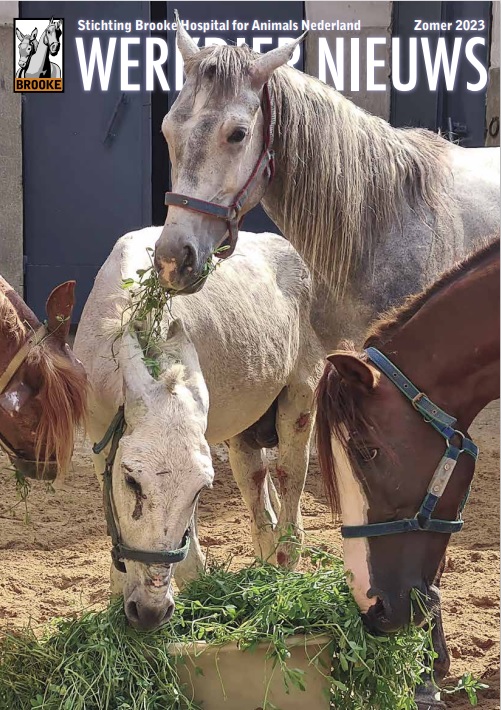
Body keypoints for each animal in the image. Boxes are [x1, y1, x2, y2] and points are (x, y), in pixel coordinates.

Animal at [74, 229, 324, 636]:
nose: (151, 612)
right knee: (259, 496)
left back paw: (283, 575)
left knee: (289, 487)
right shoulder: (101, 446)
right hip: (244, 432)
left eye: (200, 490)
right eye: (131, 481)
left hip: (300, 399)